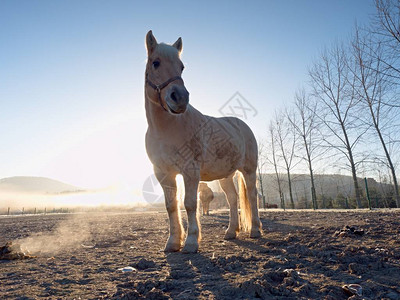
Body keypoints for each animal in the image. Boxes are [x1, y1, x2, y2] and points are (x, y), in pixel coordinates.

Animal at [144, 30, 262, 252]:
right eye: (155, 62)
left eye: (181, 67)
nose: (179, 98)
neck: (166, 129)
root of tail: (242, 126)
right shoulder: (163, 173)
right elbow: (171, 206)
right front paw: (173, 242)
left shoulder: (190, 171)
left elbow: (190, 204)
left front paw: (191, 242)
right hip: (225, 175)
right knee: (233, 199)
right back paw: (231, 232)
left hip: (248, 170)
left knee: (251, 196)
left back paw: (255, 231)